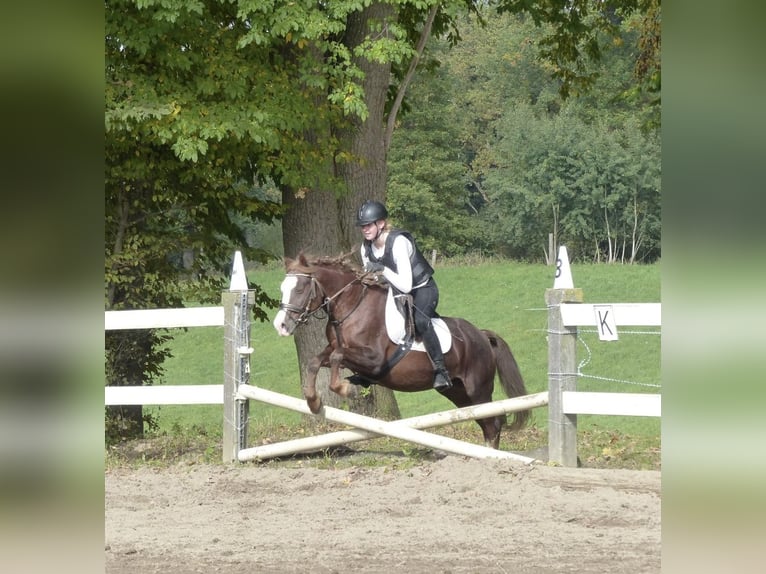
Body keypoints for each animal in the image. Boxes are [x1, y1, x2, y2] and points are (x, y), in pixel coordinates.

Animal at [272, 252, 530, 449]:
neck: (351, 307)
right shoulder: (337, 349)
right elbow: (316, 361)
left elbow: (337, 357)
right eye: (282, 287)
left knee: (493, 423)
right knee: (486, 423)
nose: (281, 326)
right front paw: (314, 401)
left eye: (300, 288)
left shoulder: (374, 359)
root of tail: (482, 335)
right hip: (458, 393)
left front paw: (346, 388)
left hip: (478, 390)